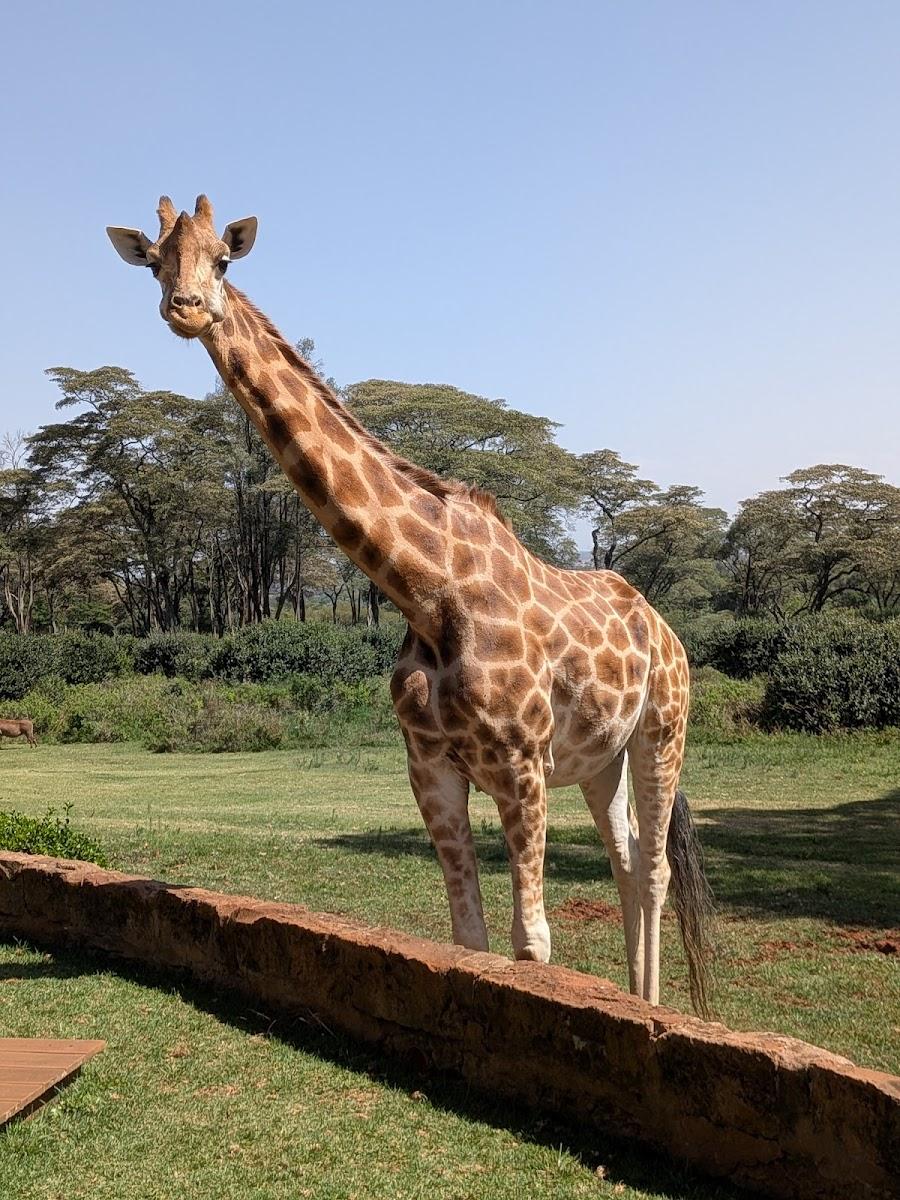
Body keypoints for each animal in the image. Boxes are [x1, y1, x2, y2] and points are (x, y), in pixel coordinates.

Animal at [107, 196, 715, 1016]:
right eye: (154, 262)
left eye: (224, 260)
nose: (187, 307)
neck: (428, 592)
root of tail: (666, 628)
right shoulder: (429, 766)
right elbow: (471, 939)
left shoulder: (521, 763)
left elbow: (532, 945)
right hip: (600, 757)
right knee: (624, 861)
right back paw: (635, 999)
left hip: (662, 729)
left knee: (653, 868)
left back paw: (651, 1009)